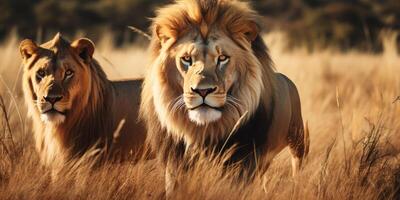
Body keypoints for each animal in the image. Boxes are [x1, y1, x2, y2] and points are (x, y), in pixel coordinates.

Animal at [140, 0, 310, 195]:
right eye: (186, 59)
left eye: (222, 58)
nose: (202, 91)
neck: (205, 132)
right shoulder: (175, 160)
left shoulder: (244, 160)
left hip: (297, 139)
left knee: (297, 163)